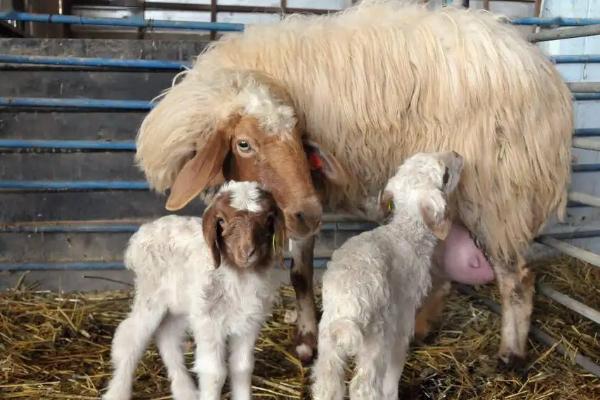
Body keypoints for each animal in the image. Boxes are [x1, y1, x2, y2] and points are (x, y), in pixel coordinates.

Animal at [102, 182, 286, 400]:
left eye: (268, 218)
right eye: (222, 221)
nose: (247, 252)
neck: (238, 276)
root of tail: (143, 233)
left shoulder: (249, 323)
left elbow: (242, 367)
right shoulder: (209, 322)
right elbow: (214, 373)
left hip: (180, 305)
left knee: (168, 338)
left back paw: (185, 391)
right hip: (151, 294)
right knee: (130, 338)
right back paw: (117, 392)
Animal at [135, 0, 572, 366]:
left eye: (300, 137)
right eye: (244, 143)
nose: (309, 212)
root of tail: (546, 77)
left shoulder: (304, 195)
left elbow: (301, 274)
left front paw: (306, 340)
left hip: (500, 195)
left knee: (517, 279)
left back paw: (510, 353)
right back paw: (422, 328)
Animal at [312, 151, 466, 400]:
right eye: (445, 175)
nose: (457, 154)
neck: (406, 232)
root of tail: (349, 302)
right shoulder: (403, 314)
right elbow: (395, 366)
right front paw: (393, 391)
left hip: (328, 334)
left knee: (327, 383)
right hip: (376, 336)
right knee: (363, 386)